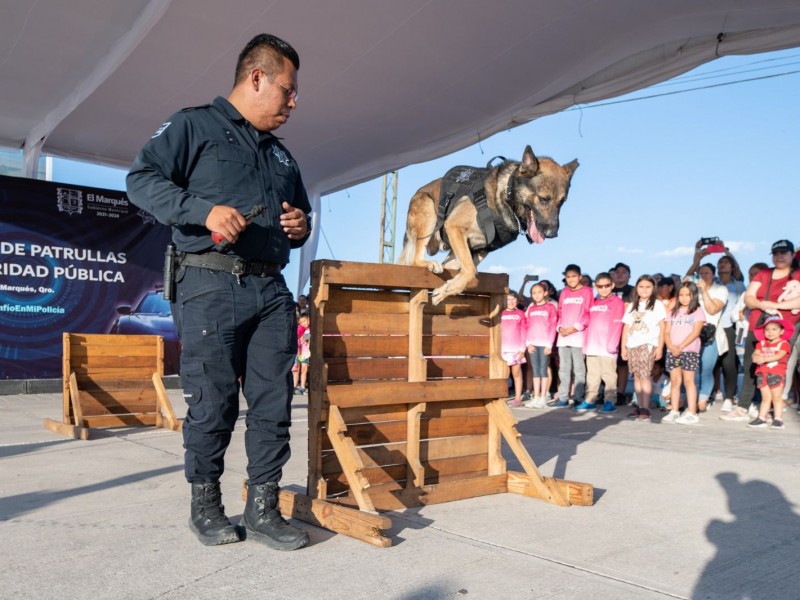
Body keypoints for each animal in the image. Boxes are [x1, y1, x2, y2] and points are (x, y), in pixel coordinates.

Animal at [398, 145, 576, 304]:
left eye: (561, 202)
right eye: (544, 199)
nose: (552, 234)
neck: (504, 198)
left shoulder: (478, 250)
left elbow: (468, 271)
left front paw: (445, 291)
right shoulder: (453, 226)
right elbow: (471, 270)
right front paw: (446, 290)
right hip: (429, 212)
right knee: (415, 260)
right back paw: (428, 263)